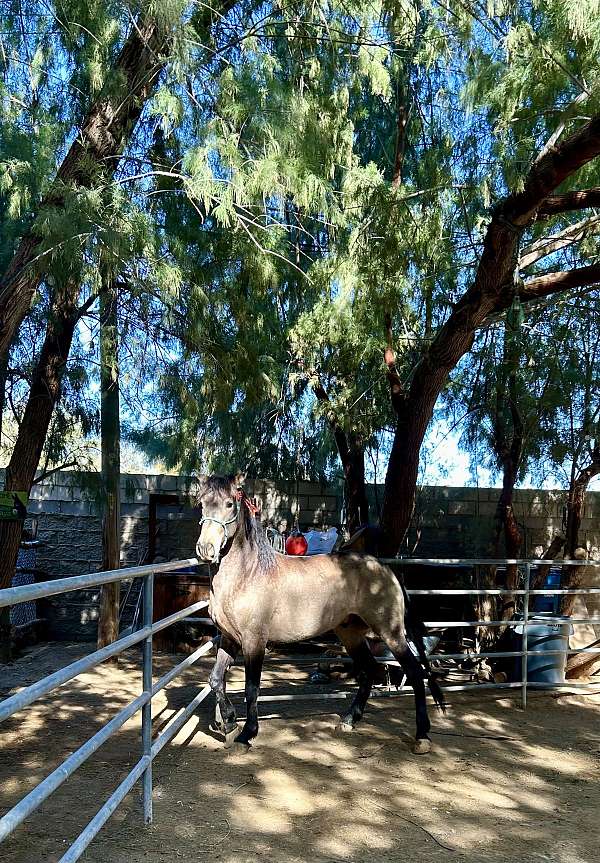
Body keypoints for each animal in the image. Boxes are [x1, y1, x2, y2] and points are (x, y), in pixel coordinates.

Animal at [197, 476, 446, 752]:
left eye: (229, 504)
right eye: (201, 503)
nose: (206, 549)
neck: (248, 575)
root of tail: (385, 569)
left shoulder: (254, 641)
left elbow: (252, 688)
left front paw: (246, 734)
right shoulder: (229, 638)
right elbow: (215, 679)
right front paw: (229, 725)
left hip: (391, 633)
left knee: (415, 673)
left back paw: (422, 736)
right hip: (350, 634)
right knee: (370, 670)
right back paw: (348, 721)